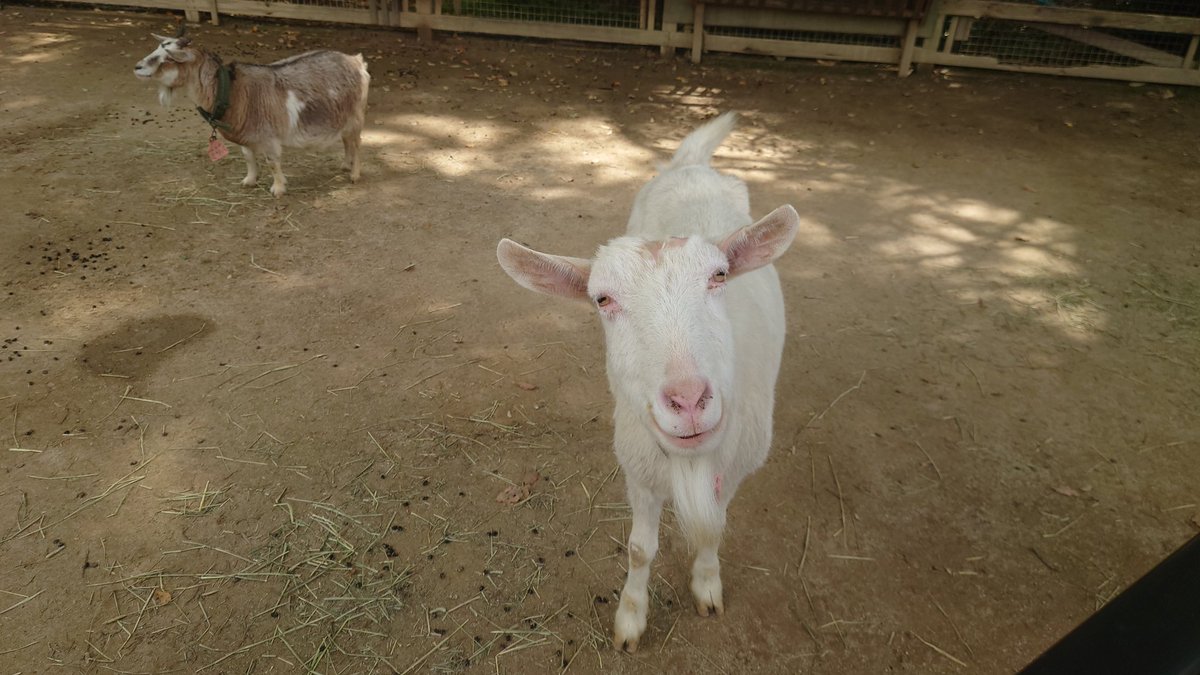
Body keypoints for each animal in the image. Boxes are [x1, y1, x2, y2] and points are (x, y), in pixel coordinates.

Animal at [134, 29, 370, 197]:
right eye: (155, 51)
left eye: (168, 59)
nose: (137, 67)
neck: (233, 91)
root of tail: (357, 61)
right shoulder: (247, 136)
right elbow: (248, 157)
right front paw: (249, 180)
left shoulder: (269, 136)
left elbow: (272, 161)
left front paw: (278, 189)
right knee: (347, 141)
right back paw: (345, 165)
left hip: (356, 115)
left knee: (357, 143)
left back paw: (355, 174)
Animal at [496, 112, 799, 652]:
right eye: (601, 300)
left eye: (720, 276)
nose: (689, 400)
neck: (690, 461)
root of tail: (691, 164)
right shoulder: (637, 465)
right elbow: (640, 548)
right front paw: (631, 618)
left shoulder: (737, 466)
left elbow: (713, 530)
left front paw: (706, 585)